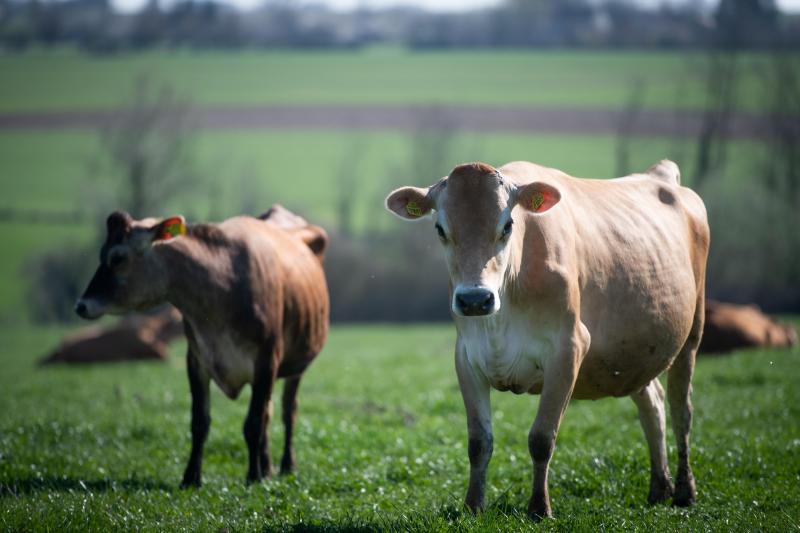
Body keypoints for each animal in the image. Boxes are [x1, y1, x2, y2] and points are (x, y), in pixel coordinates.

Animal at [74, 205, 329, 486]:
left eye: (118, 258)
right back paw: (267, 466)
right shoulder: (196, 359)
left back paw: (286, 465)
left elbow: (253, 423)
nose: (81, 305)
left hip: (296, 364)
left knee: (287, 411)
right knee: (269, 412)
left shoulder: (266, 360)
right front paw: (191, 478)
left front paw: (253, 477)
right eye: (101, 254)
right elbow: (200, 422)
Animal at [385, 160, 709, 519]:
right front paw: (473, 506)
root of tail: (659, 174)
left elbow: (541, 438)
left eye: (507, 225)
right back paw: (659, 488)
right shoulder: (467, 358)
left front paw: (540, 507)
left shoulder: (568, 349)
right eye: (440, 229)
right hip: (635, 353)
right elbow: (478, 441)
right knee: (652, 403)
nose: (475, 299)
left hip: (692, 334)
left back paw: (684, 491)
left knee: (682, 411)